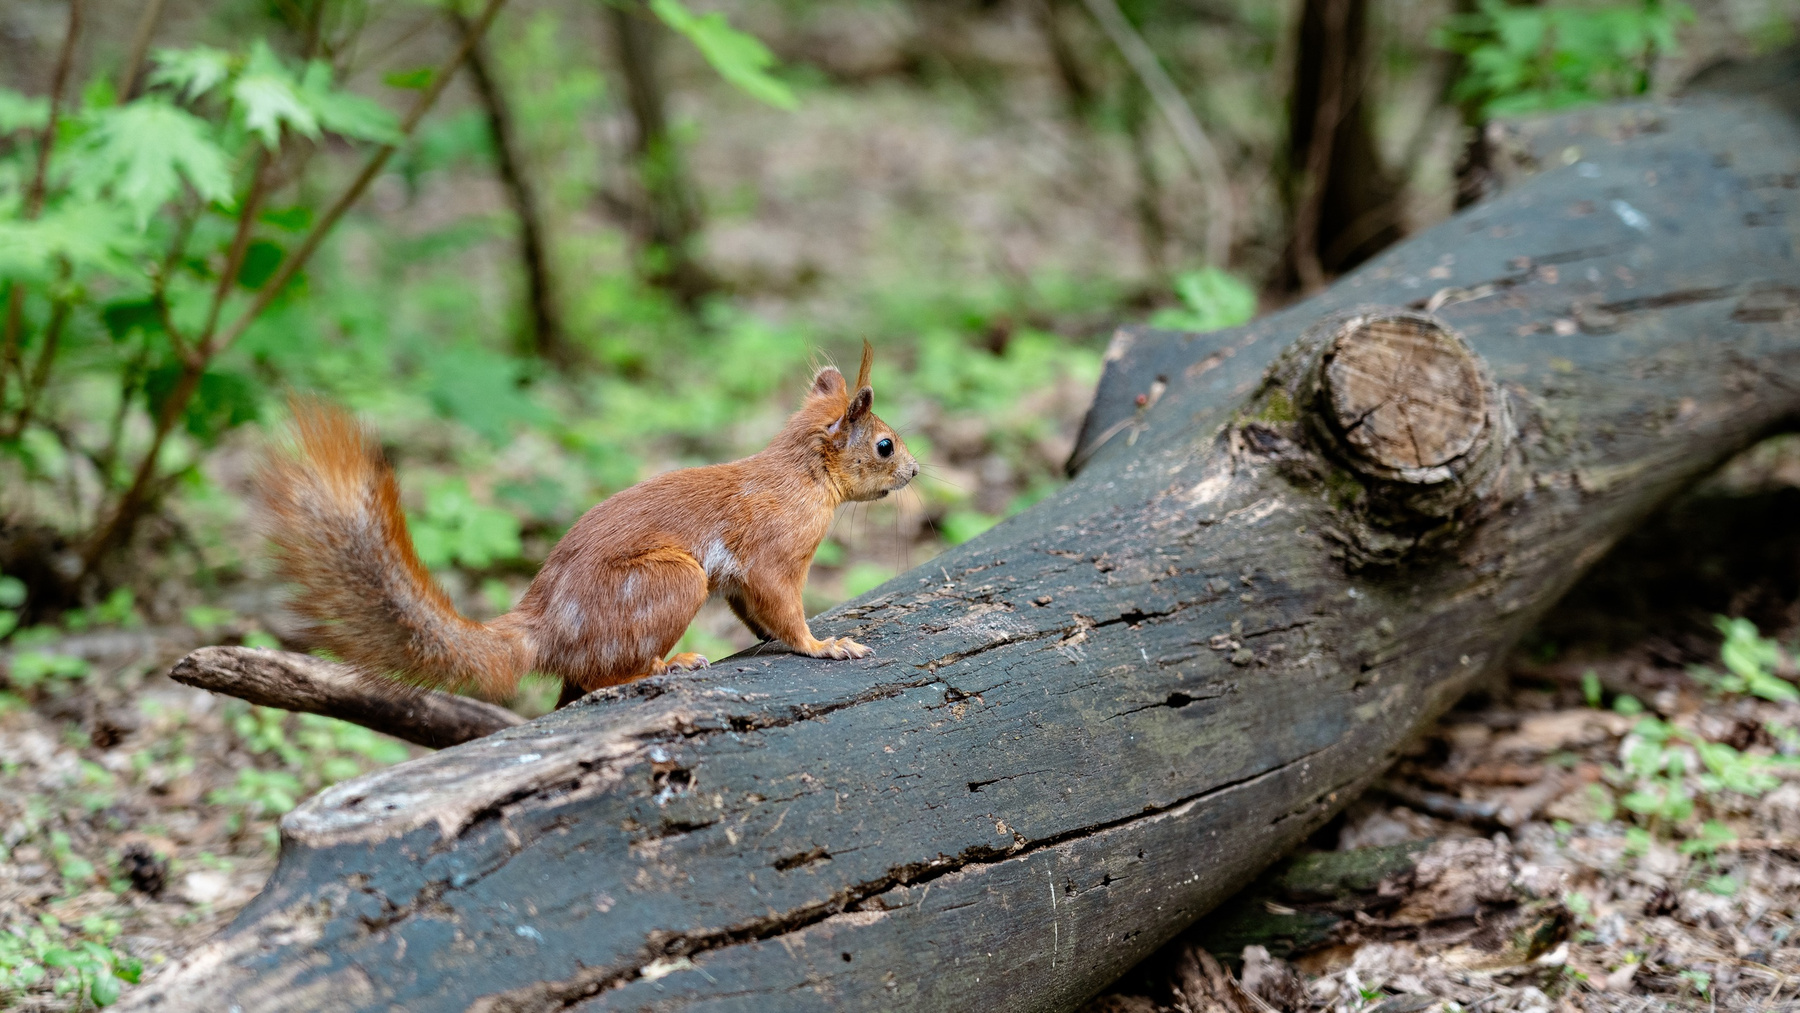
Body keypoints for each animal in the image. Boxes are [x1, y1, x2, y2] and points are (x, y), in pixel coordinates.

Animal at [257, 342, 918, 703]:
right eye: (884, 445)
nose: (915, 470)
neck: (801, 476)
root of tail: (547, 627)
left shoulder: (741, 580)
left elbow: (753, 613)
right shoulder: (775, 554)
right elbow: (783, 607)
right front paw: (824, 645)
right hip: (670, 581)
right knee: (599, 679)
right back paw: (666, 666)